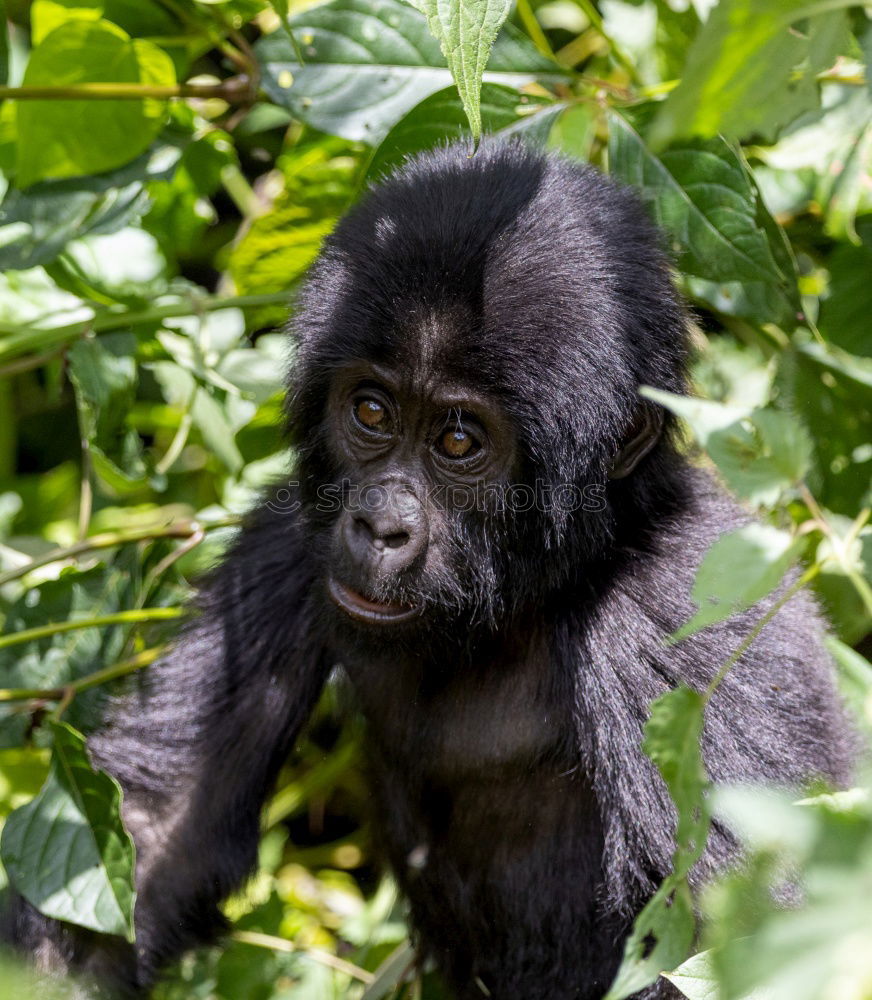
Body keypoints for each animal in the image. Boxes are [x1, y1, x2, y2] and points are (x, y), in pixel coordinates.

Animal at [3, 143, 856, 1000]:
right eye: (371, 412)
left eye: (458, 441)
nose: (380, 524)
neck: (552, 583)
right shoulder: (287, 539)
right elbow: (155, 836)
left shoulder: (685, 624)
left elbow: (738, 943)